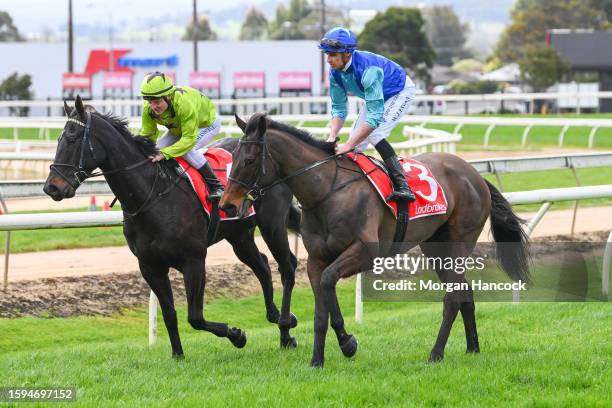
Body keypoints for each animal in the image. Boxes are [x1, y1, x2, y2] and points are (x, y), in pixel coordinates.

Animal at [221, 113, 532, 368]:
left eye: (248, 160)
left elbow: (329, 280)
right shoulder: (316, 260)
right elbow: (320, 310)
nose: (227, 205)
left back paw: (435, 353)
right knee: (464, 291)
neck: (328, 191)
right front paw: (318, 360)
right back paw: (472, 348)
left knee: (453, 296)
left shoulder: (364, 252)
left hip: (459, 241)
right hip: (436, 246)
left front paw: (346, 342)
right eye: (231, 159)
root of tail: (475, 174)